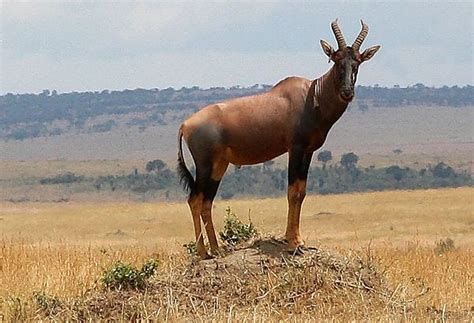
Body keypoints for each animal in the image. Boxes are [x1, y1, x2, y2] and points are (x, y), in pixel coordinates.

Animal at [178, 19, 382, 258]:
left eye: (357, 62)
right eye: (336, 59)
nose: (347, 92)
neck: (312, 94)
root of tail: (186, 124)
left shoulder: (308, 151)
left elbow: (301, 192)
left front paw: (299, 240)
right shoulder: (295, 148)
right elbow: (292, 192)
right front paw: (292, 243)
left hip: (219, 166)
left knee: (207, 202)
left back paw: (217, 250)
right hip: (204, 165)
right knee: (195, 199)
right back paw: (203, 252)